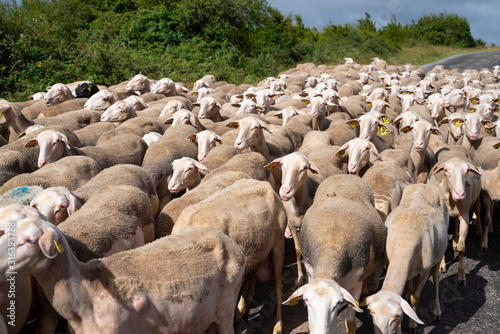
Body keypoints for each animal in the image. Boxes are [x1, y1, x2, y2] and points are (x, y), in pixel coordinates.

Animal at [171, 179, 286, 334]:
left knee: (279, 284)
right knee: (250, 276)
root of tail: (264, 183)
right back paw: (240, 310)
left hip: (278, 244)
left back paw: (278, 325)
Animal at [284, 175, 384, 334]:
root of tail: (345, 176)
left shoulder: (355, 285)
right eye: (306, 300)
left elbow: (351, 323)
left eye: (338, 302)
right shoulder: (312, 274)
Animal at [364, 184, 450, 332]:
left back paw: (436, 309)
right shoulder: (390, 261)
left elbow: (416, 297)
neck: (405, 238)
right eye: (371, 313)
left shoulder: (424, 272)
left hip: (439, 254)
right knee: (410, 277)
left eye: (397, 316)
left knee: (436, 278)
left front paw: (412, 324)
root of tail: (426, 185)